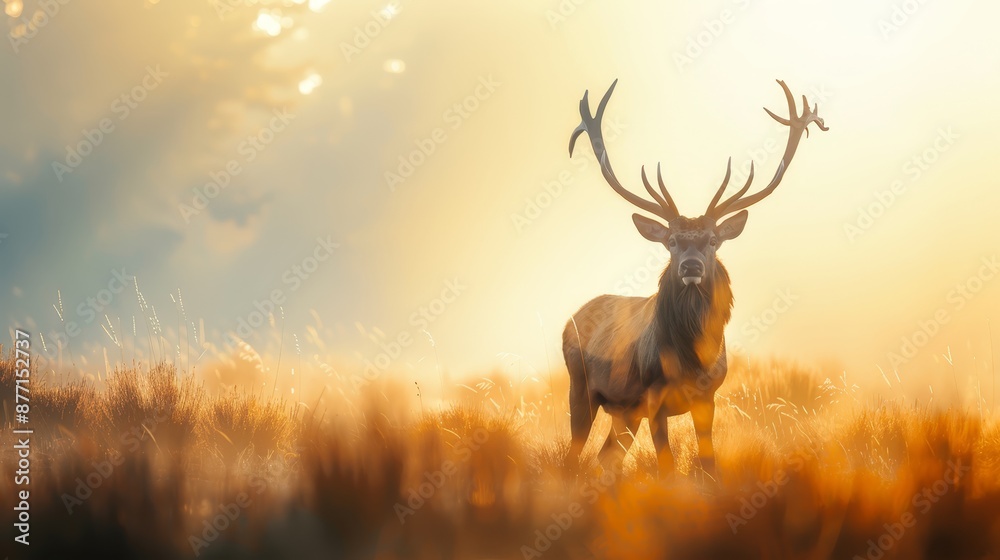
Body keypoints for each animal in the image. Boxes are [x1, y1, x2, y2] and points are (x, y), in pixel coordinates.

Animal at [563, 79, 828, 480]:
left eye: (713, 240)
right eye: (671, 241)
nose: (690, 266)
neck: (691, 361)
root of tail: (570, 319)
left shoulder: (708, 397)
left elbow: (708, 462)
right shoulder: (653, 397)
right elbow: (667, 465)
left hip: (624, 412)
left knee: (605, 458)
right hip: (580, 388)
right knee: (573, 455)